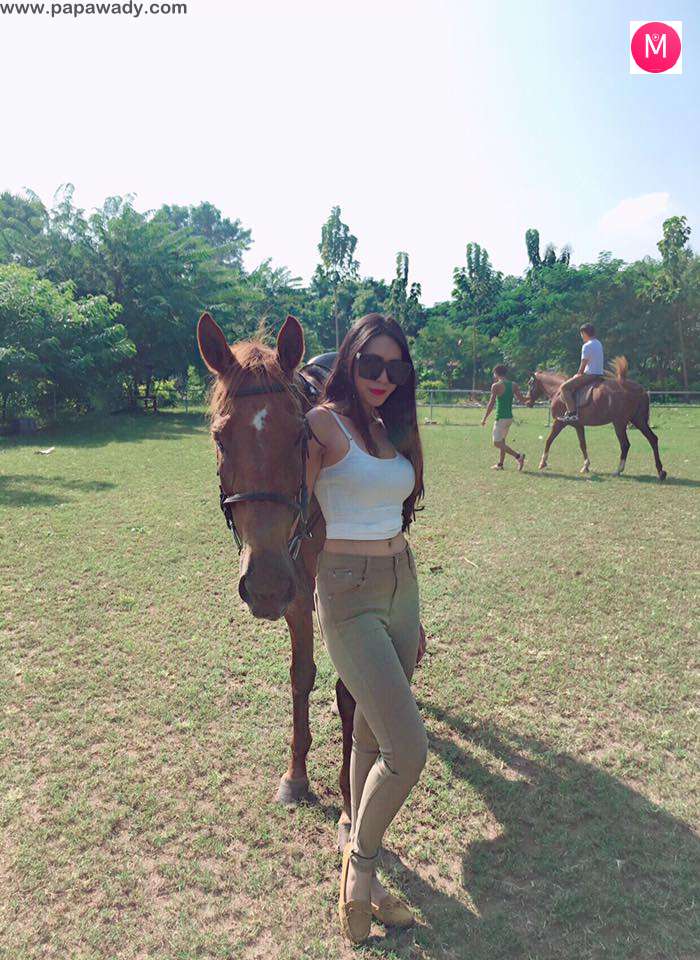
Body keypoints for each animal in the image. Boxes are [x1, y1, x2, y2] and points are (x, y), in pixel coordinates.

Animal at [197, 310, 357, 848]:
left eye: (300, 436)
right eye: (220, 438)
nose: (264, 585)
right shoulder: (297, 591)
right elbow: (300, 674)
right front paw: (296, 776)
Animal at [525, 358, 667, 481]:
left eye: (530, 383)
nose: (527, 402)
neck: (558, 391)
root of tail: (640, 390)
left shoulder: (559, 422)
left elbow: (549, 440)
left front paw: (542, 462)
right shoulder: (578, 425)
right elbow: (583, 444)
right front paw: (586, 466)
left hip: (619, 423)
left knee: (625, 444)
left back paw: (618, 470)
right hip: (638, 420)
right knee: (653, 439)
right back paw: (660, 471)